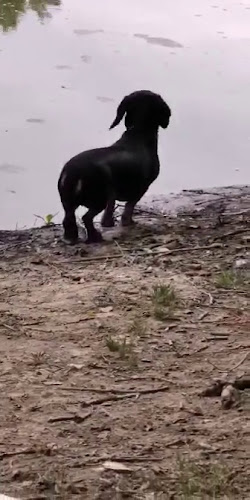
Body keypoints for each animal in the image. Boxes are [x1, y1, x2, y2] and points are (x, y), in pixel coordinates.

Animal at [57, 92, 171, 246]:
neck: (138, 133)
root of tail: (73, 171)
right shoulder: (140, 189)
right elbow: (128, 208)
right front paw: (128, 223)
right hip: (99, 200)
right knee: (87, 218)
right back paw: (95, 237)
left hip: (68, 203)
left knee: (69, 219)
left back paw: (71, 238)